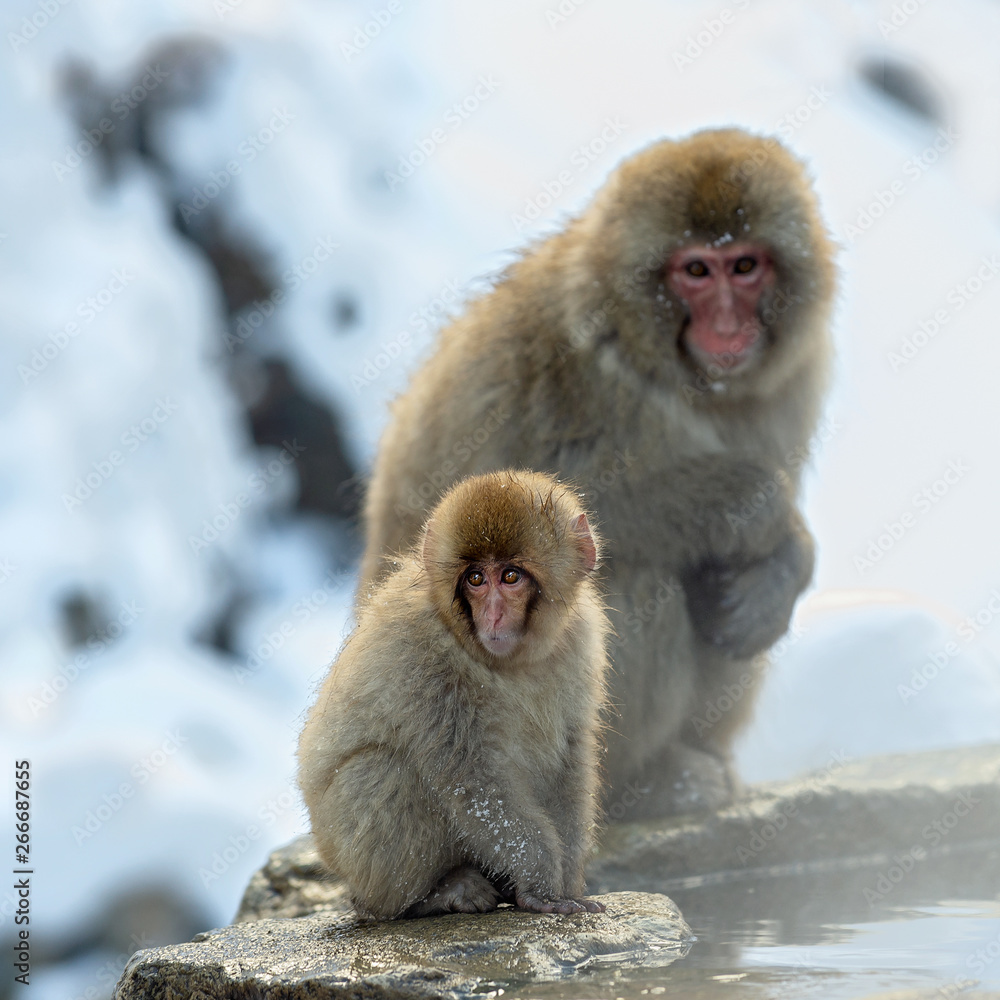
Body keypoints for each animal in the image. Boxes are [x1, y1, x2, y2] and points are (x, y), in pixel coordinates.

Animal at [298, 471, 610, 919]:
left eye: (510, 576)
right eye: (475, 579)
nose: (493, 616)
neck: (509, 662)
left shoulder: (581, 636)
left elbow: (572, 757)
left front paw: (566, 882)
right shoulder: (422, 658)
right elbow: (474, 779)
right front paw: (542, 886)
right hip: (350, 857)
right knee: (381, 770)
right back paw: (432, 895)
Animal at [358, 128, 837, 820]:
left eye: (745, 266)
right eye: (696, 270)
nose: (727, 326)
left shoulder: (791, 385)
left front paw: (787, 566)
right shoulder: (587, 375)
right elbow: (532, 508)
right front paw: (765, 509)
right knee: (634, 576)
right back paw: (644, 782)